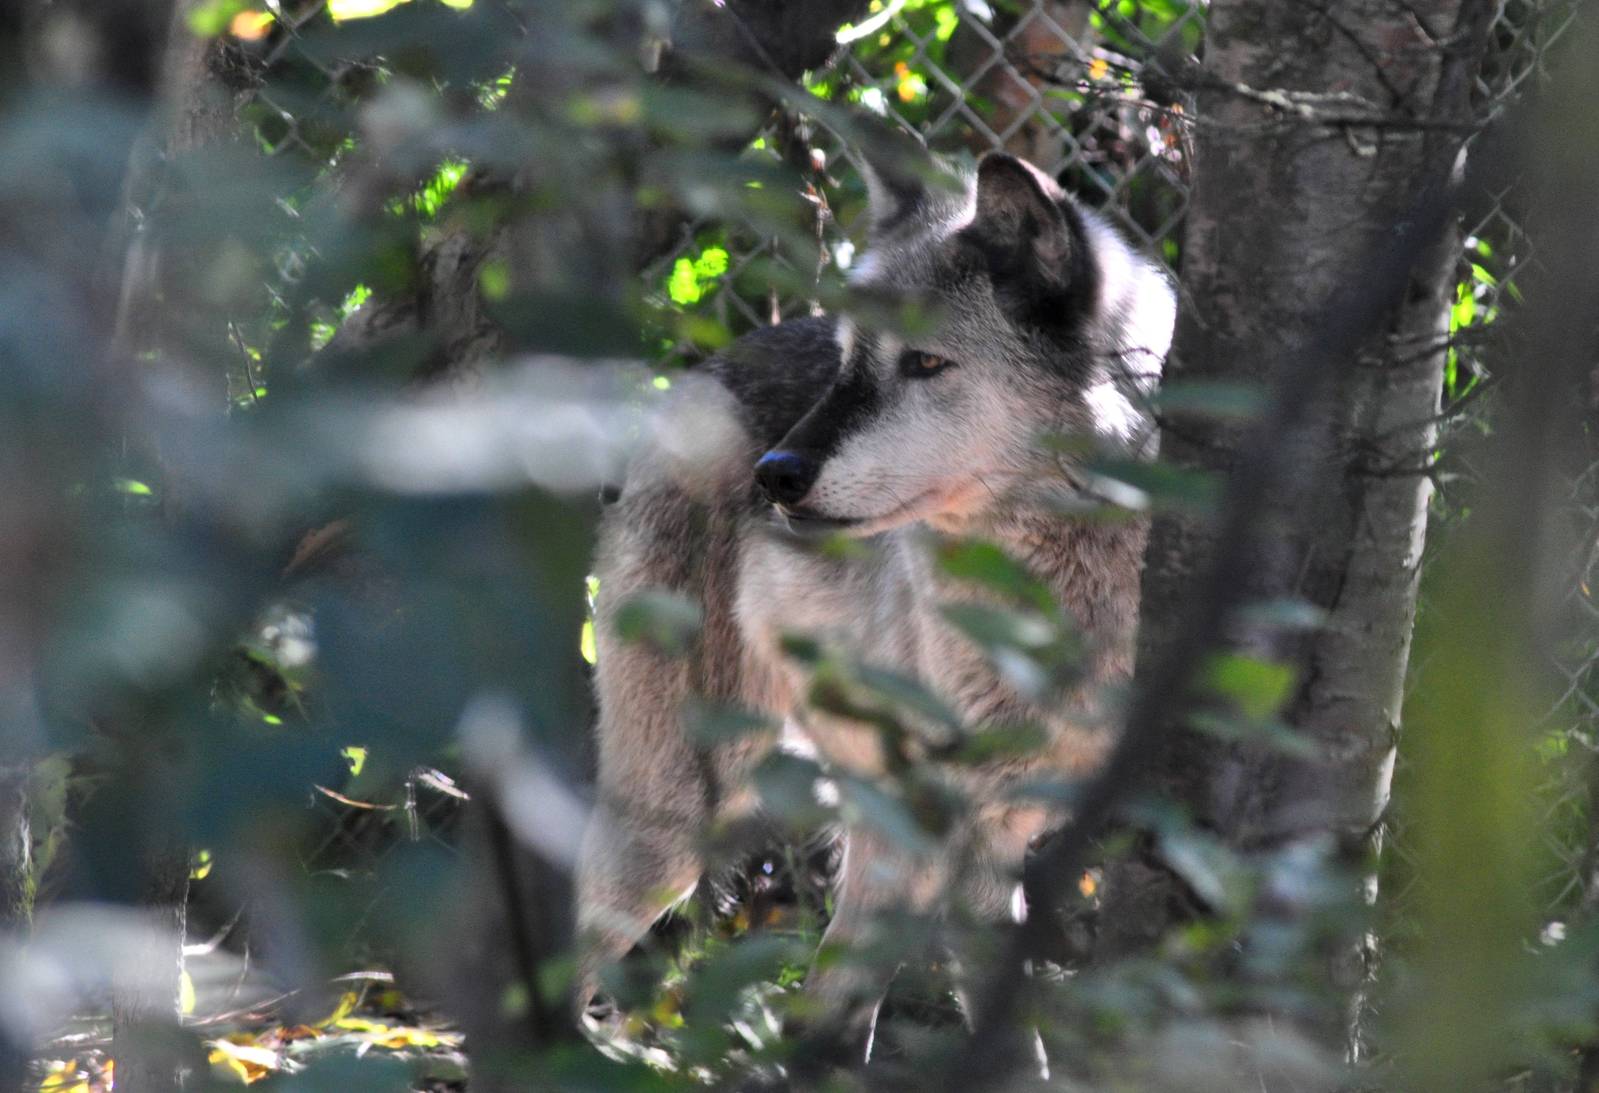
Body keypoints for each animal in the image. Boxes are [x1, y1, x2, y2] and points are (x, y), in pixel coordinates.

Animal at [575, 147, 1177, 1049]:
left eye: (924, 363)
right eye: (849, 359)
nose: (776, 476)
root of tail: (693, 377)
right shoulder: (977, 835)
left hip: (887, 850)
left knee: (823, 1010)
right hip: (679, 821)